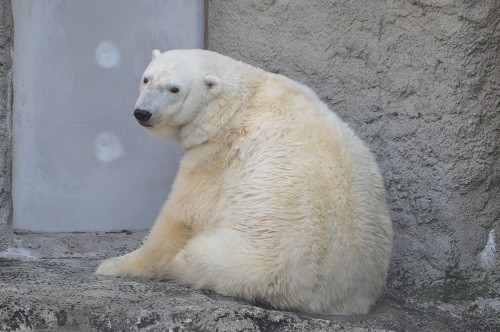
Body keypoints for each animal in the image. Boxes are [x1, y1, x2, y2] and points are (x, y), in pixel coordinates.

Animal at [95, 48, 392, 314]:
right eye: (147, 78)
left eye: (174, 89)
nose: (143, 112)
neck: (240, 100)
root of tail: (327, 296)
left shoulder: (217, 154)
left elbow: (182, 217)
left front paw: (113, 265)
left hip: (252, 261)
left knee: (201, 260)